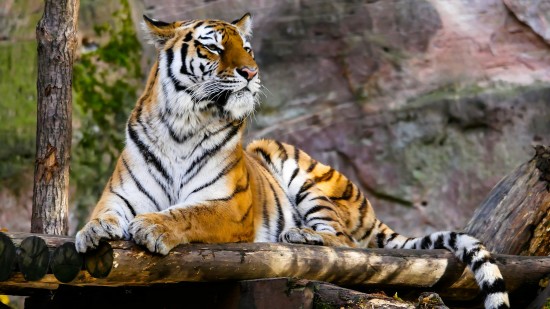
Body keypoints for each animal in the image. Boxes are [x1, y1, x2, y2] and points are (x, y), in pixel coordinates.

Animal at [74, 13, 512, 306]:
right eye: (213, 46)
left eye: (246, 48)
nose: (251, 73)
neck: (183, 124)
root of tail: (370, 209)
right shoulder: (119, 195)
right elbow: (102, 214)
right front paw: (91, 232)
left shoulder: (230, 206)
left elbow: (188, 213)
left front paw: (153, 227)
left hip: (302, 173)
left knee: (346, 242)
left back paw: (301, 235)